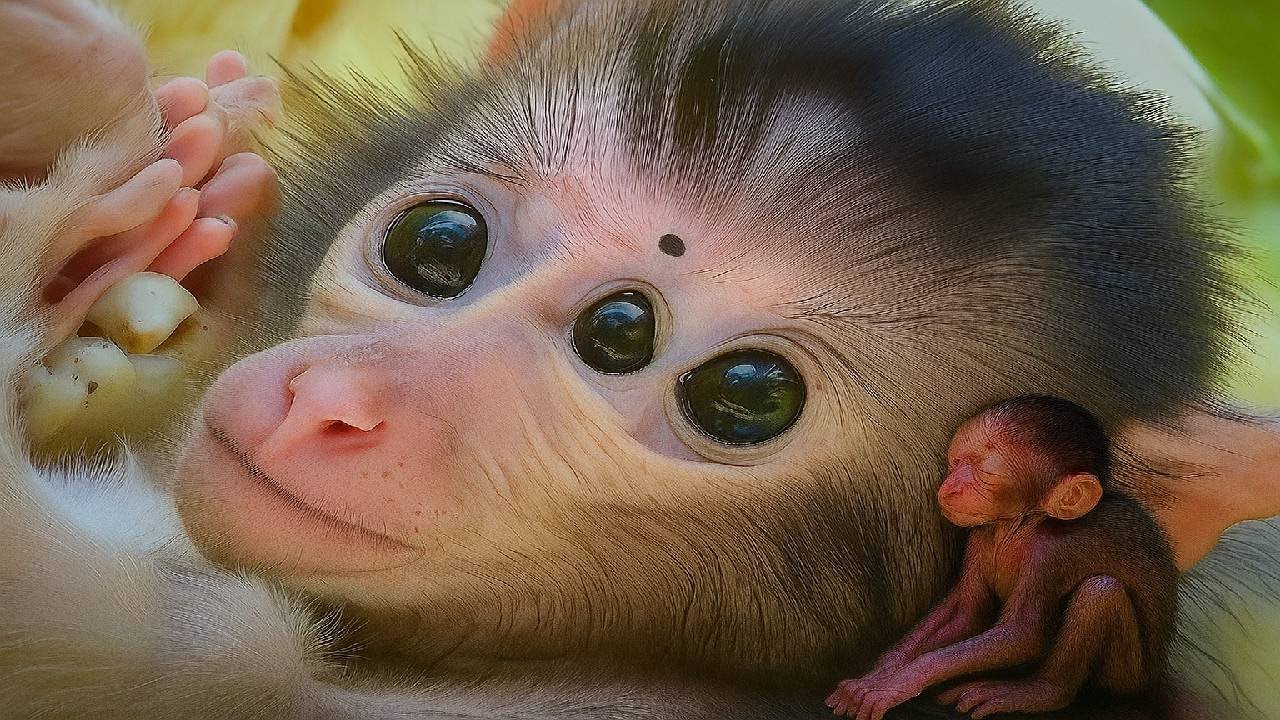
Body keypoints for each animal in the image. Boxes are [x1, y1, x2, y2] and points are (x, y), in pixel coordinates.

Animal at [828, 396, 1179, 719]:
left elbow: (1021, 635)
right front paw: (882, 671)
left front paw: (897, 683)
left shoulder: (1051, 553)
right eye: (955, 462)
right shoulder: (980, 538)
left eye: (986, 474)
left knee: (1100, 591)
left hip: (1127, 677)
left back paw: (1039, 692)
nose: (949, 488)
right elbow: (967, 613)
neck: (1021, 525)